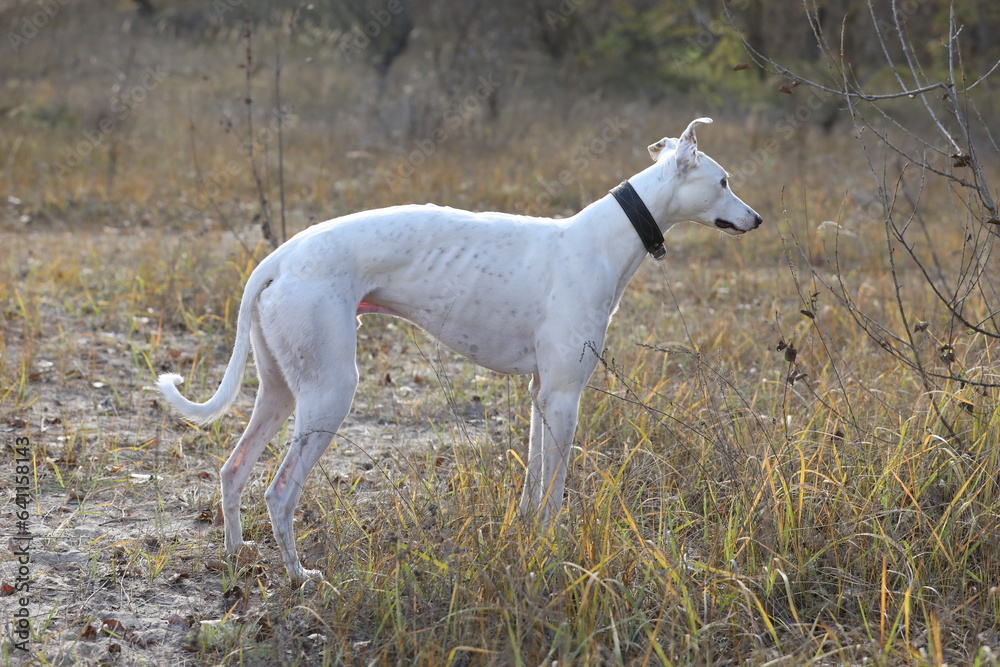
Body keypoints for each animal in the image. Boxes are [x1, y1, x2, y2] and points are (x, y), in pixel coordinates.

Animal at [160, 117, 760, 580]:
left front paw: (526, 537)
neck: (603, 239)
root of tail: (280, 257)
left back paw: (237, 558)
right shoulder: (565, 396)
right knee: (279, 493)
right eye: (724, 180)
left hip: (282, 391)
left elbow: (533, 483)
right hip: (330, 393)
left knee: (233, 470)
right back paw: (299, 576)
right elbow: (555, 489)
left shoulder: (542, 395)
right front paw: (553, 548)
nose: (756, 219)